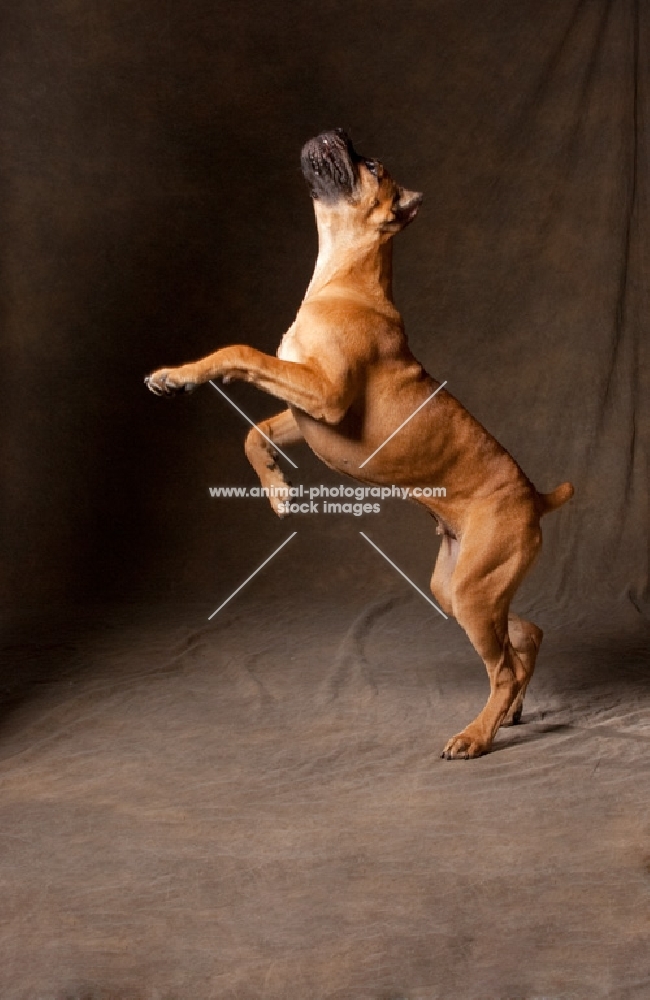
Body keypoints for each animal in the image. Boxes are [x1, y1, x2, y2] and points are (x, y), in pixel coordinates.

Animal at [144, 127, 568, 756]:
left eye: (371, 165)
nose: (337, 133)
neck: (345, 275)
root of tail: (536, 497)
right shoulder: (304, 410)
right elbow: (254, 432)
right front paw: (275, 487)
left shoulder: (323, 397)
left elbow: (238, 353)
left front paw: (189, 375)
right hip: (459, 589)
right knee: (527, 633)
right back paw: (507, 714)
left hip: (474, 591)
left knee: (505, 667)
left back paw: (475, 735)